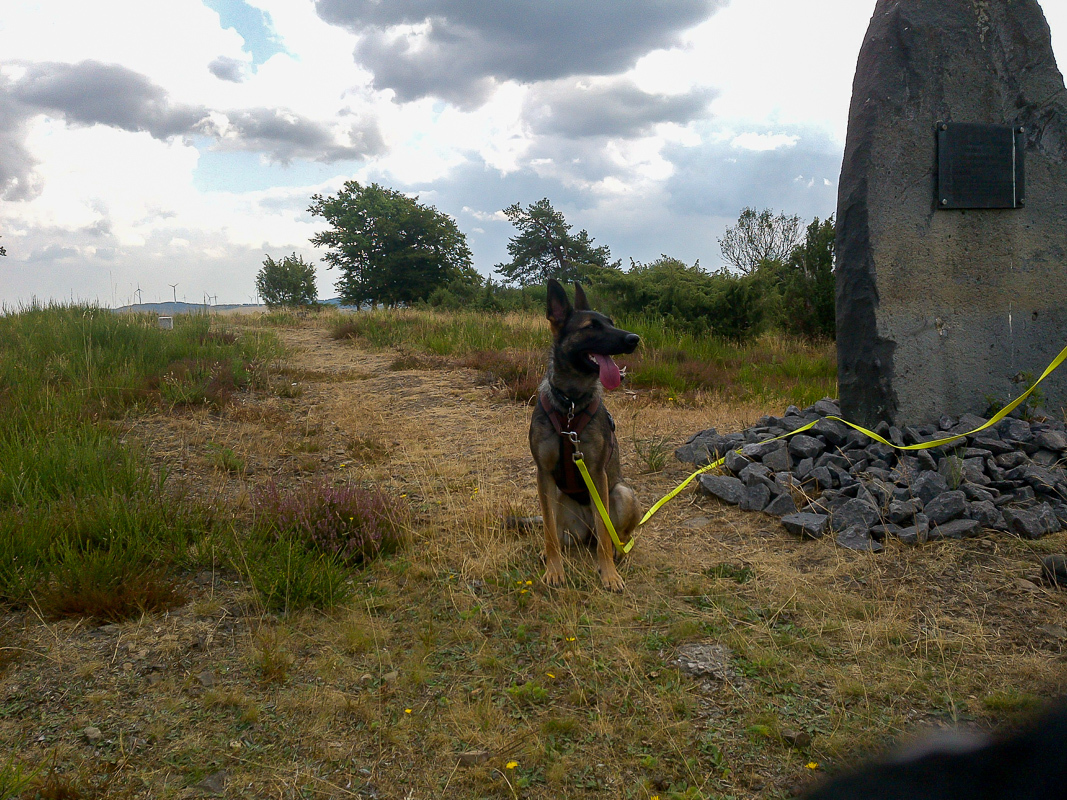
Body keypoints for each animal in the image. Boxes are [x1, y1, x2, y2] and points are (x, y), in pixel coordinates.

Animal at [527, 279, 635, 588]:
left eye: (611, 323)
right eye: (591, 326)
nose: (634, 339)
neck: (571, 405)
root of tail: (586, 532)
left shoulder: (597, 472)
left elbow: (605, 534)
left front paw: (608, 574)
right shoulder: (543, 474)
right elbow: (549, 532)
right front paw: (554, 570)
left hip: (623, 492)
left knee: (613, 535)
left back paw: (619, 552)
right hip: (557, 499)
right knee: (559, 533)